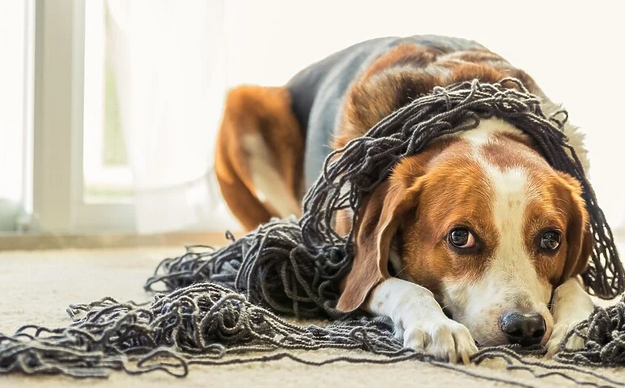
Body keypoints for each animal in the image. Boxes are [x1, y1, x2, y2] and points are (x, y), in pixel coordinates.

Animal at [214, 34, 596, 362]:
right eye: (460, 237)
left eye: (551, 239)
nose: (526, 327)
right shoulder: (342, 267)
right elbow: (404, 288)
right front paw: (437, 326)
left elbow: (574, 284)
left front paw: (578, 324)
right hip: (241, 109)